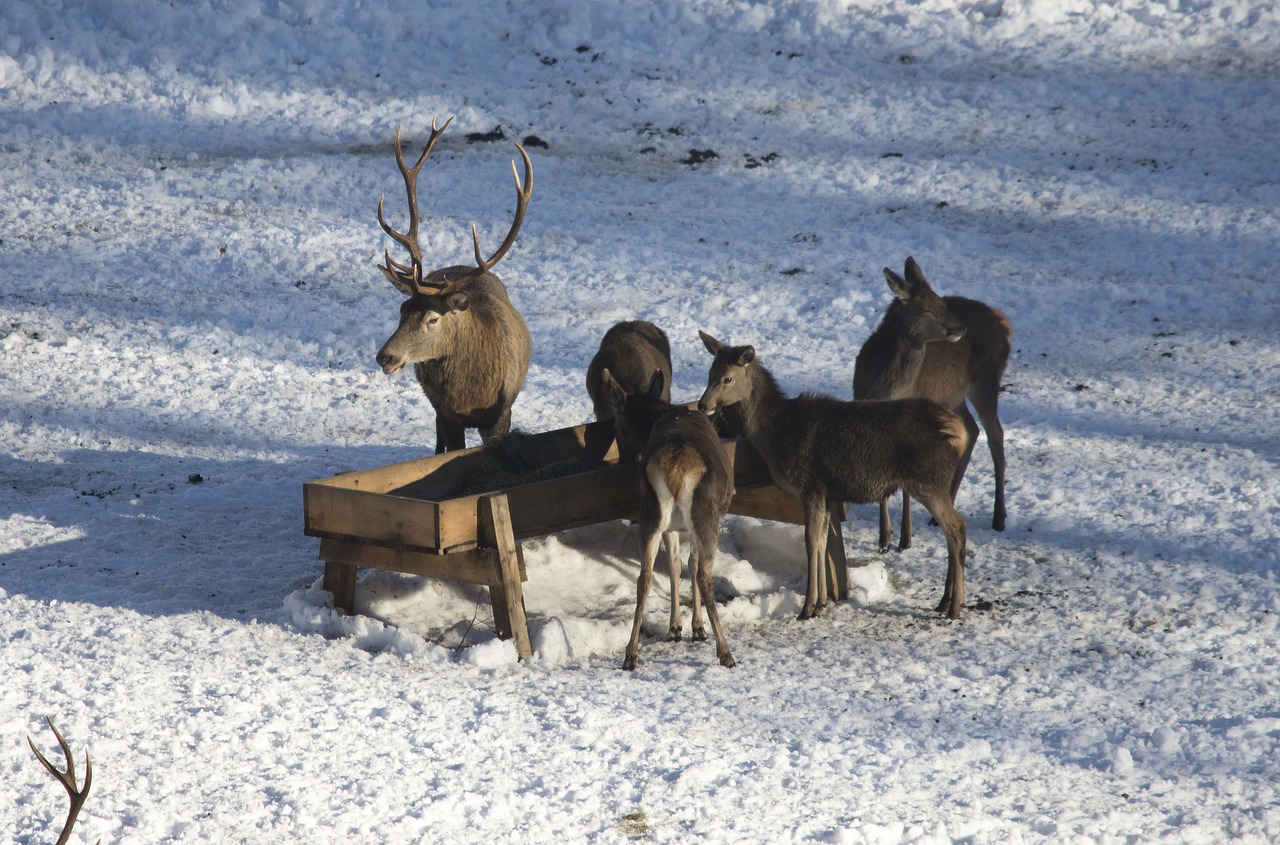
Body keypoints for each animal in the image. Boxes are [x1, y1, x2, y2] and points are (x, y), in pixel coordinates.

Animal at [373, 117, 532, 455]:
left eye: (433, 319)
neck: (469, 396)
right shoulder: (446, 415)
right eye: (401, 310)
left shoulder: (501, 415)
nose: (385, 357)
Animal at [601, 366, 737, 670]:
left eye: (618, 428)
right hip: (705, 515)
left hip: (651, 513)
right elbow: (691, 564)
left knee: (644, 577)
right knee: (704, 574)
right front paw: (696, 628)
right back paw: (725, 652)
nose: (622, 459)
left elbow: (675, 565)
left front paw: (675, 627)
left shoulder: (671, 527)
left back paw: (630, 654)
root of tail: (676, 467)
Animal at [701, 332, 967, 619]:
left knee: (956, 528)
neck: (775, 433)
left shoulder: (810, 486)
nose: (703, 404)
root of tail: (960, 432)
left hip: (929, 481)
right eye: (710, 372)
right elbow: (821, 541)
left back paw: (955, 606)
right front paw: (820, 603)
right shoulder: (827, 493)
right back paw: (945, 602)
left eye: (728, 378)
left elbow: (811, 542)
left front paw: (807, 607)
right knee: (952, 531)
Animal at [849, 254, 1008, 550]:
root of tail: (1005, 323)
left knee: (995, 433)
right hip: (953, 395)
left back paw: (999, 517)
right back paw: (939, 514)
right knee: (971, 429)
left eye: (942, 303)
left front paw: (905, 538)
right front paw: (884, 538)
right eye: (928, 309)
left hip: (986, 380)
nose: (960, 328)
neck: (888, 387)